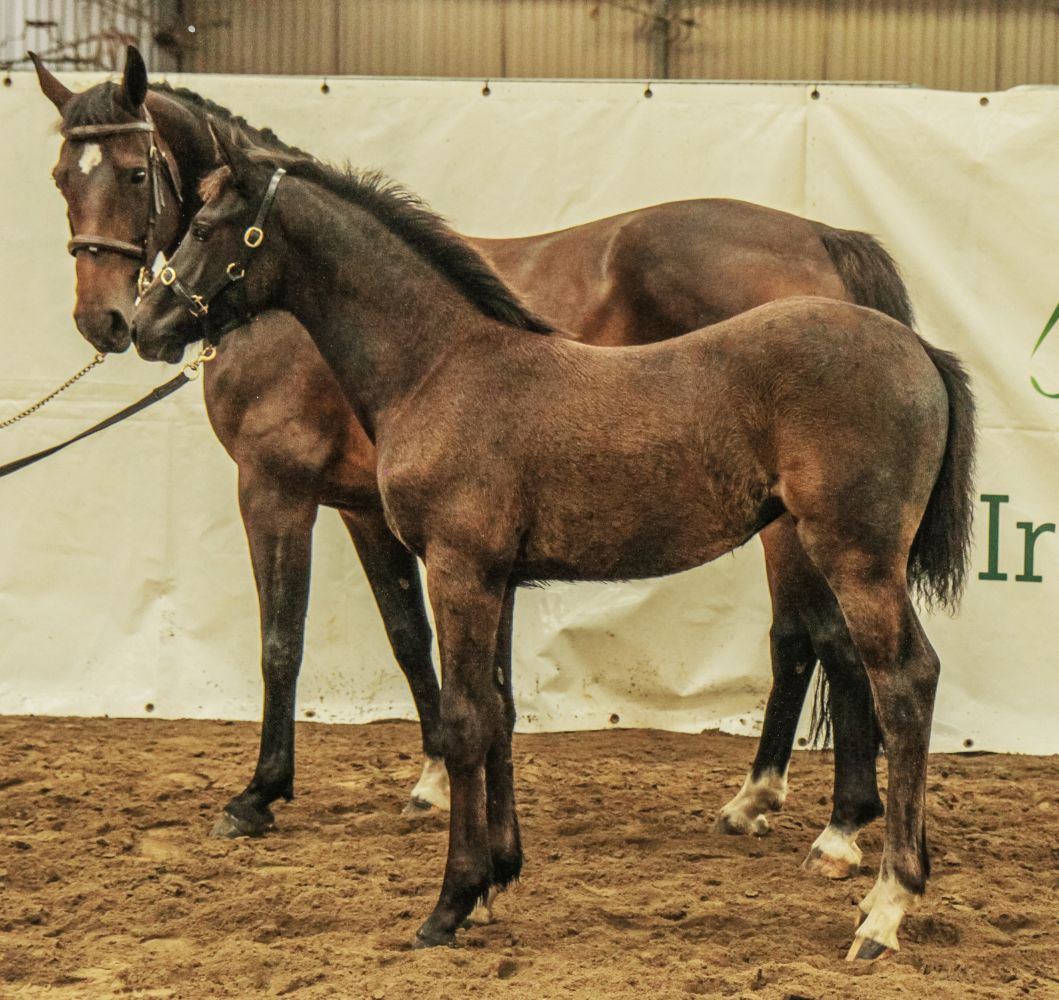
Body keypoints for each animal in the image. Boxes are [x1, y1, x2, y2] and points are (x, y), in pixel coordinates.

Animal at [35, 47, 915, 876]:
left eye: (136, 171)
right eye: (60, 177)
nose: (109, 320)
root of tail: (821, 240)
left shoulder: (274, 489)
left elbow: (280, 641)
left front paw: (259, 793)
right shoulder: (364, 509)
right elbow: (409, 636)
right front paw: (432, 780)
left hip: (800, 525)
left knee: (821, 639)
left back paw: (830, 823)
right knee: (811, 639)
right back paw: (766, 800)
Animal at [128, 127, 976, 961]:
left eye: (202, 227)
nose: (144, 325)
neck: (438, 367)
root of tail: (919, 351)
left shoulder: (456, 568)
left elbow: (463, 720)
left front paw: (448, 902)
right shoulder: (496, 578)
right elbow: (499, 711)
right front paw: (497, 876)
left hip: (855, 557)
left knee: (902, 681)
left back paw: (881, 907)